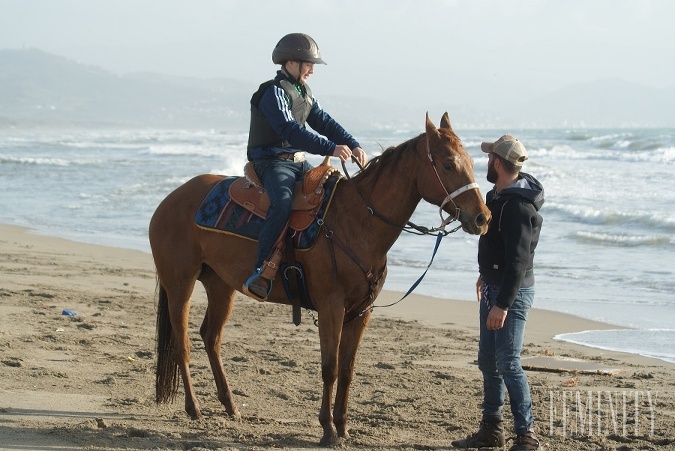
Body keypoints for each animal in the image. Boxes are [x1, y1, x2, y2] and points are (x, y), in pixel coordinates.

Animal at [149, 113, 492, 444]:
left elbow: (348, 369)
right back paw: (194, 408)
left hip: (221, 286)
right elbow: (330, 368)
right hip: (179, 284)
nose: (482, 218)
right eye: (448, 164)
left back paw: (230, 405)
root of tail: (169, 200)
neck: (356, 221)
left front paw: (343, 426)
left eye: (472, 161)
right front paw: (327, 428)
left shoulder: (361, 312)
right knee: (182, 344)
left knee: (211, 337)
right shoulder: (331, 307)